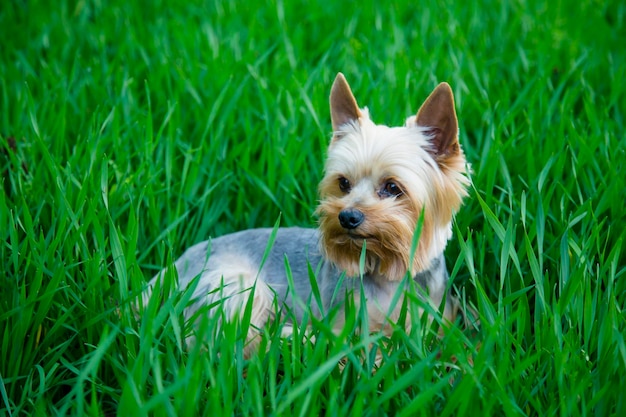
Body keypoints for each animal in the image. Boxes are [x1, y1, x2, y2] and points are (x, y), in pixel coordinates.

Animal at [143, 73, 468, 352]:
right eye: (343, 183)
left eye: (392, 187)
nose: (347, 217)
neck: (386, 269)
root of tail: (167, 273)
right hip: (234, 284)